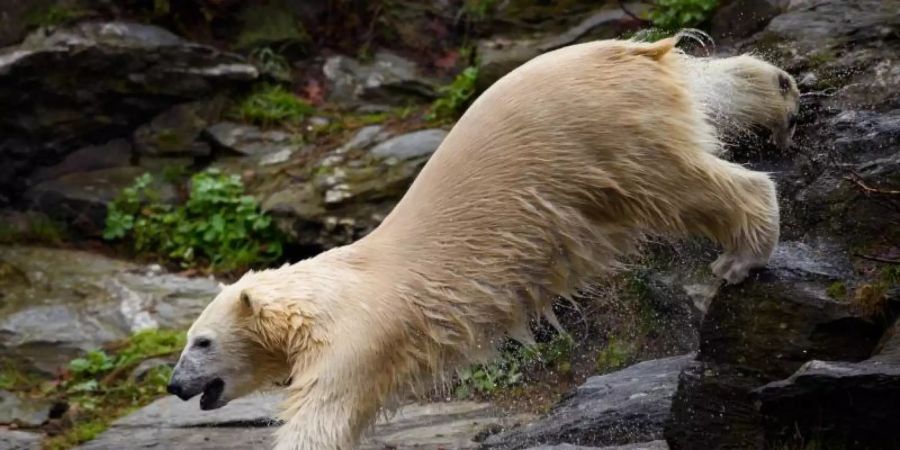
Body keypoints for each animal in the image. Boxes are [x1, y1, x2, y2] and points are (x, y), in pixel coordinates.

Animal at [169, 36, 800, 450]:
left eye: (202, 341)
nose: (175, 386)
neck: (331, 287)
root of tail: (632, 52)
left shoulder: (357, 335)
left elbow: (321, 415)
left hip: (600, 135)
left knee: (680, 184)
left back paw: (742, 253)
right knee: (712, 91)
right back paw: (780, 96)